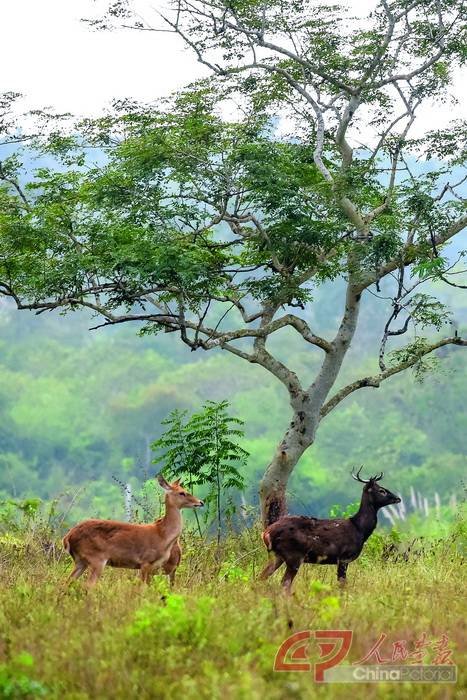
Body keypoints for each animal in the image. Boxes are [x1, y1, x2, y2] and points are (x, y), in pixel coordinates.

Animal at [262, 468, 400, 592]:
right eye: (381, 490)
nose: (398, 498)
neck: (360, 529)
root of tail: (266, 533)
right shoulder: (344, 556)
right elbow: (343, 584)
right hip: (294, 554)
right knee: (285, 583)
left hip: (276, 554)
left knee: (261, 577)